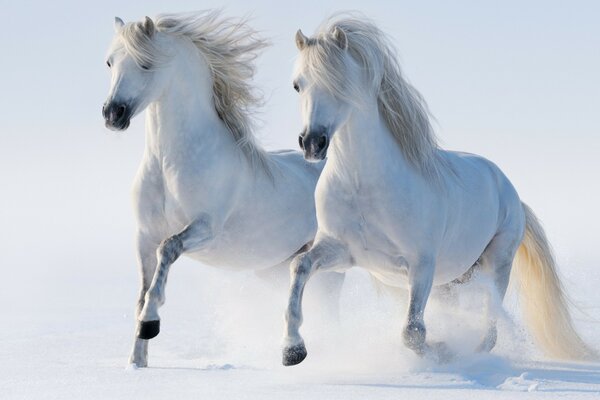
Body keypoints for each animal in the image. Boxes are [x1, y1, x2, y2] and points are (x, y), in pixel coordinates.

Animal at [102, 11, 342, 368]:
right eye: (110, 62)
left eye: (146, 64)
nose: (112, 114)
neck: (169, 164)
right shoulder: (144, 236)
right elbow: (142, 293)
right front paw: (137, 362)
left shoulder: (205, 228)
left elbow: (168, 251)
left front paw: (150, 324)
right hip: (274, 268)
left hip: (331, 265)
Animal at [282, 15, 596, 366]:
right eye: (298, 85)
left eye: (340, 82)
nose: (312, 143)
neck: (364, 185)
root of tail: (511, 192)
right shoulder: (341, 252)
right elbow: (299, 266)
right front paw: (292, 350)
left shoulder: (421, 265)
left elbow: (412, 332)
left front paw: (442, 351)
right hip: (451, 280)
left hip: (496, 264)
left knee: (490, 325)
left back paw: (472, 353)